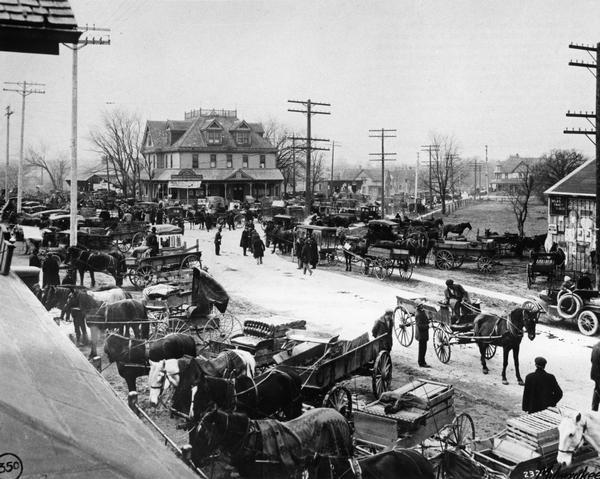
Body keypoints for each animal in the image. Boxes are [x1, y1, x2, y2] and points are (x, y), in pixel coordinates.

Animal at [172, 358, 304, 422]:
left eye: (202, 393)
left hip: (292, 407)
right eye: (192, 391)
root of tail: (294, 372)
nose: (191, 415)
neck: (232, 393)